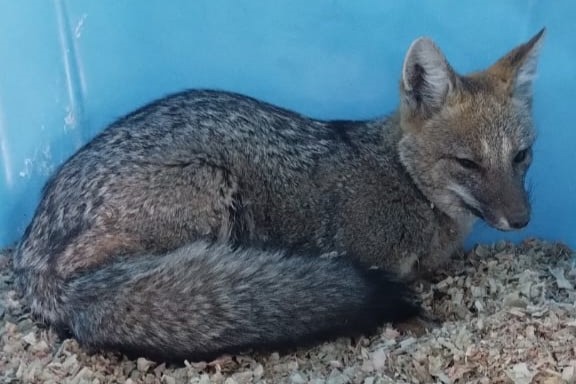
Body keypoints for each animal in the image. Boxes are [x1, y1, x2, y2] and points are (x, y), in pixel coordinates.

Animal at [12, 28, 544, 362]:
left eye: (521, 156)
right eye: (468, 164)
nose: (522, 220)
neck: (404, 181)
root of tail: (29, 258)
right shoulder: (372, 256)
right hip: (207, 185)